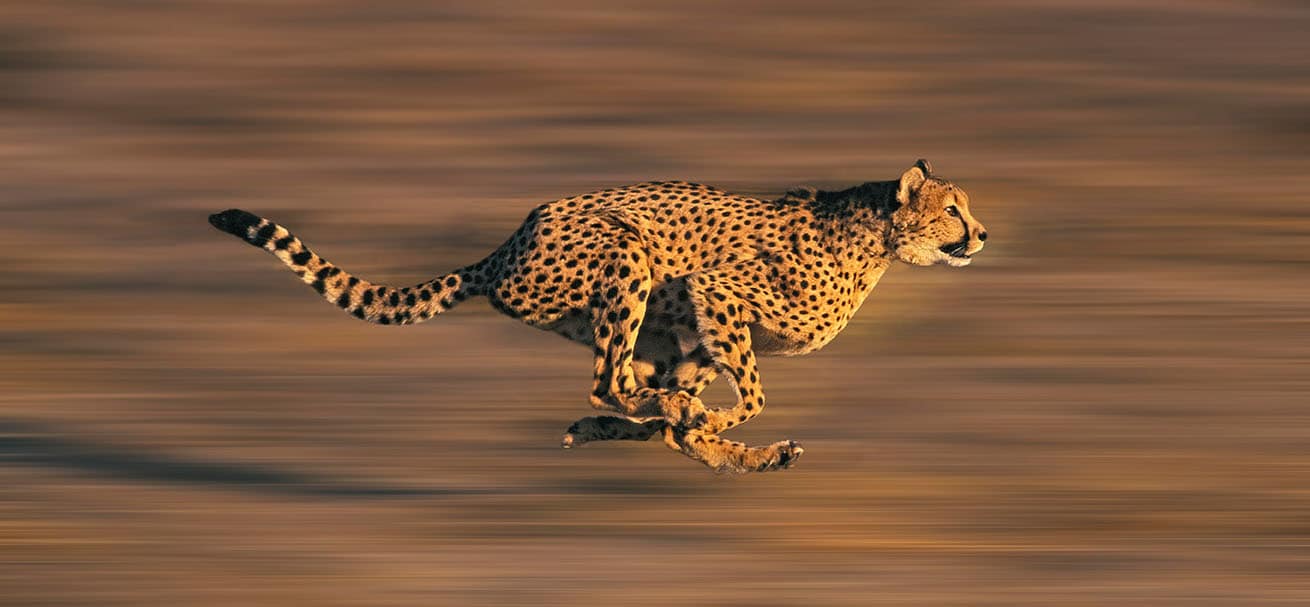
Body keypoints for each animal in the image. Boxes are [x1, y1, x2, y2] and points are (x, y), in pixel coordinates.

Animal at [208, 159, 988, 474]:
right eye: (953, 209)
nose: (981, 235)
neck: (877, 239)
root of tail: (510, 240)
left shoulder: (698, 325)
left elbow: (697, 416)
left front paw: (714, 433)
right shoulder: (715, 290)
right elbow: (752, 394)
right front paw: (713, 420)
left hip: (655, 322)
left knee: (630, 396)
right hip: (626, 254)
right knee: (610, 383)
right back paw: (663, 418)